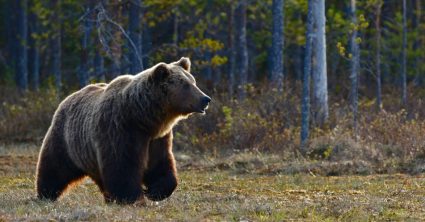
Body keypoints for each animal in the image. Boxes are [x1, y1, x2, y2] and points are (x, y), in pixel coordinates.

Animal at [34, 57, 210, 205]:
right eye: (185, 85)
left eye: (193, 81)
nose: (206, 99)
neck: (143, 118)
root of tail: (68, 97)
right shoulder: (120, 129)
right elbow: (122, 166)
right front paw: (132, 197)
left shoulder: (157, 138)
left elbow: (160, 163)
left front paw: (155, 191)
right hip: (66, 139)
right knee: (55, 167)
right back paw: (46, 194)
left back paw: (108, 198)